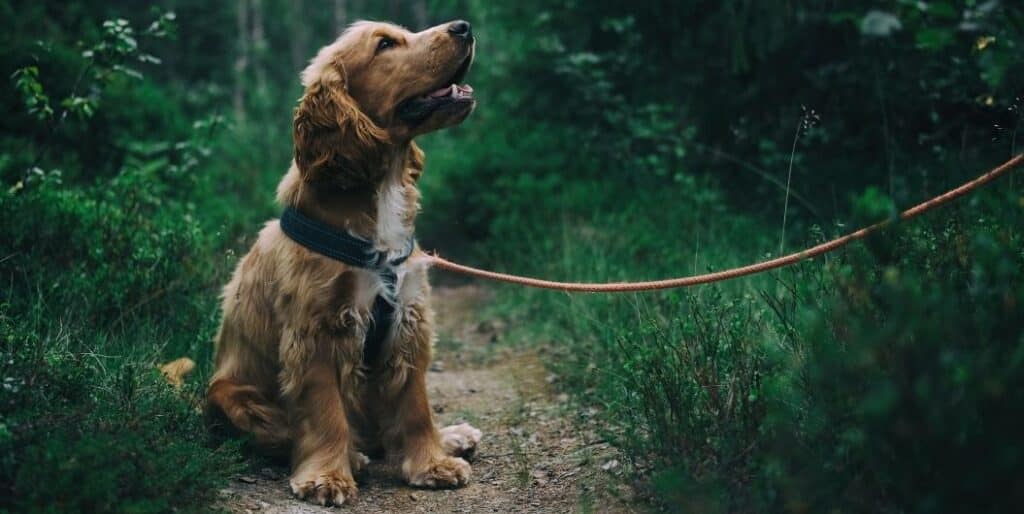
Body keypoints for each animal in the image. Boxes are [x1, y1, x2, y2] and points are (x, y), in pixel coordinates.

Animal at [206, 19, 483, 505]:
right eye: (385, 44)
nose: (464, 26)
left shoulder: (408, 320)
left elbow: (416, 405)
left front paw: (432, 463)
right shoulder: (317, 330)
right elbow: (325, 411)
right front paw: (327, 477)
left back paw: (451, 436)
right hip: (230, 394)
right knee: (288, 433)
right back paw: (353, 456)